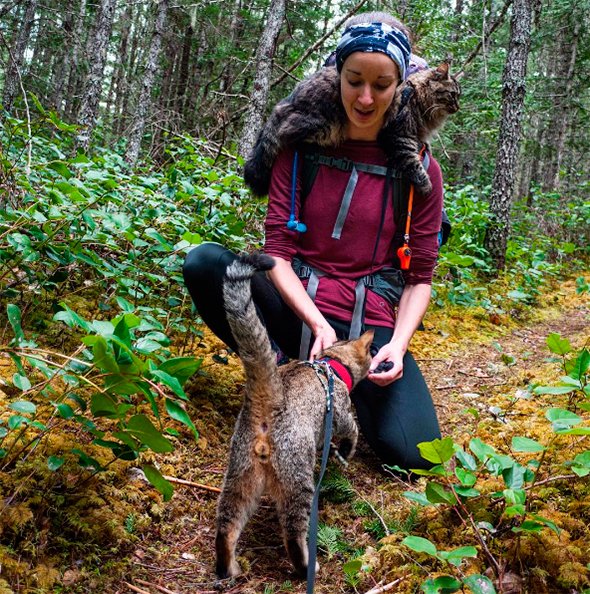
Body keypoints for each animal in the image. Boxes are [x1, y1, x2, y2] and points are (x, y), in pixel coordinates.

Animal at [217, 252, 374, 576]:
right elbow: (351, 431)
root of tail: (270, 400)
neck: (333, 365)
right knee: (292, 531)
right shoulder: (341, 414)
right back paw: (305, 566)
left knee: (227, 524)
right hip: (298, 481)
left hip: (239, 476)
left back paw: (228, 566)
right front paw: (347, 451)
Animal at [245, 62, 462, 197]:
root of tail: (285, 103)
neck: (417, 96)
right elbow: (413, 163)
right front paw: (425, 185)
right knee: (286, 132)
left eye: (459, 96)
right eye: (452, 95)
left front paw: (425, 146)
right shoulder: (398, 135)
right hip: (325, 125)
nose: (458, 107)